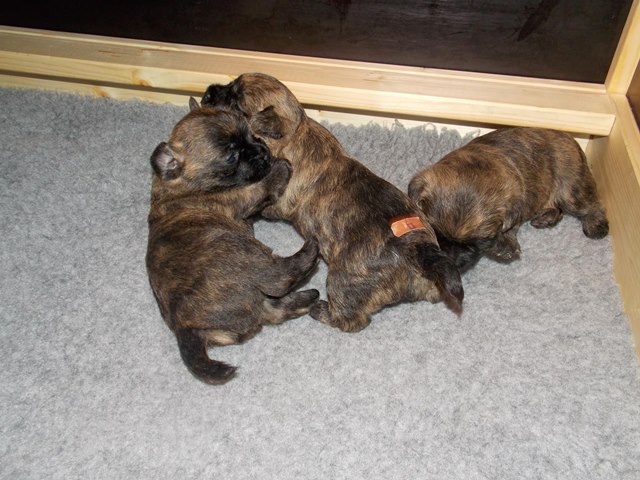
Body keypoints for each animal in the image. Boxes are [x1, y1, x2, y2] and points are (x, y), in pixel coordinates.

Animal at [146, 99, 319, 384]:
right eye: (230, 156)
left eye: (250, 134)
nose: (263, 151)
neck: (180, 186)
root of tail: (187, 329)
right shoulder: (241, 198)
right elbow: (262, 186)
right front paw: (281, 167)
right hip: (243, 252)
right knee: (278, 278)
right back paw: (311, 250)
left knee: (275, 308)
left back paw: (309, 297)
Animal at [201, 73, 464, 333]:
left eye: (236, 103)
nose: (207, 93)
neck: (297, 132)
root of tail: (416, 251)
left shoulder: (277, 198)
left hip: (344, 279)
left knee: (352, 319)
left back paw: (322, 310)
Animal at [408, 127, 609, 270]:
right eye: (435, 231)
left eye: (480, 241)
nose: (452, 261)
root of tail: (571, 138)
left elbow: (509, 229)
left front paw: (504, 246)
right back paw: (546, 218)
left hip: (571, 187)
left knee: (590, 205)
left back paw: (596, 226)